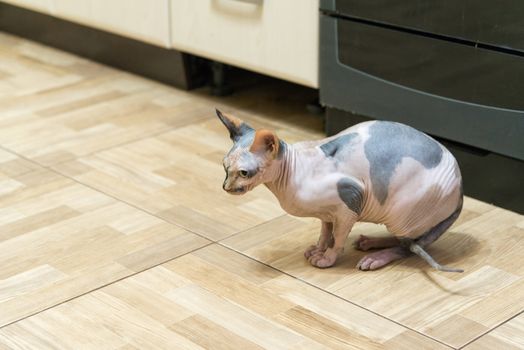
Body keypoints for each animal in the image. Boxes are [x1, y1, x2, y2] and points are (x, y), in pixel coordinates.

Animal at [216, 108, 462, 272]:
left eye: (244, 173)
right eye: (225, 167)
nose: (226, 187)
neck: (293, 172)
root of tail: (460, 191)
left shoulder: (350, 203)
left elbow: (338, 239)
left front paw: (326, 258)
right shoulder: (327, 212)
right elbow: (325, 232)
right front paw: (318, 248)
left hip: (401, 213)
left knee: (409, 246)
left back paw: (376, 257)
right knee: (408, 242)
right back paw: (369, 242)